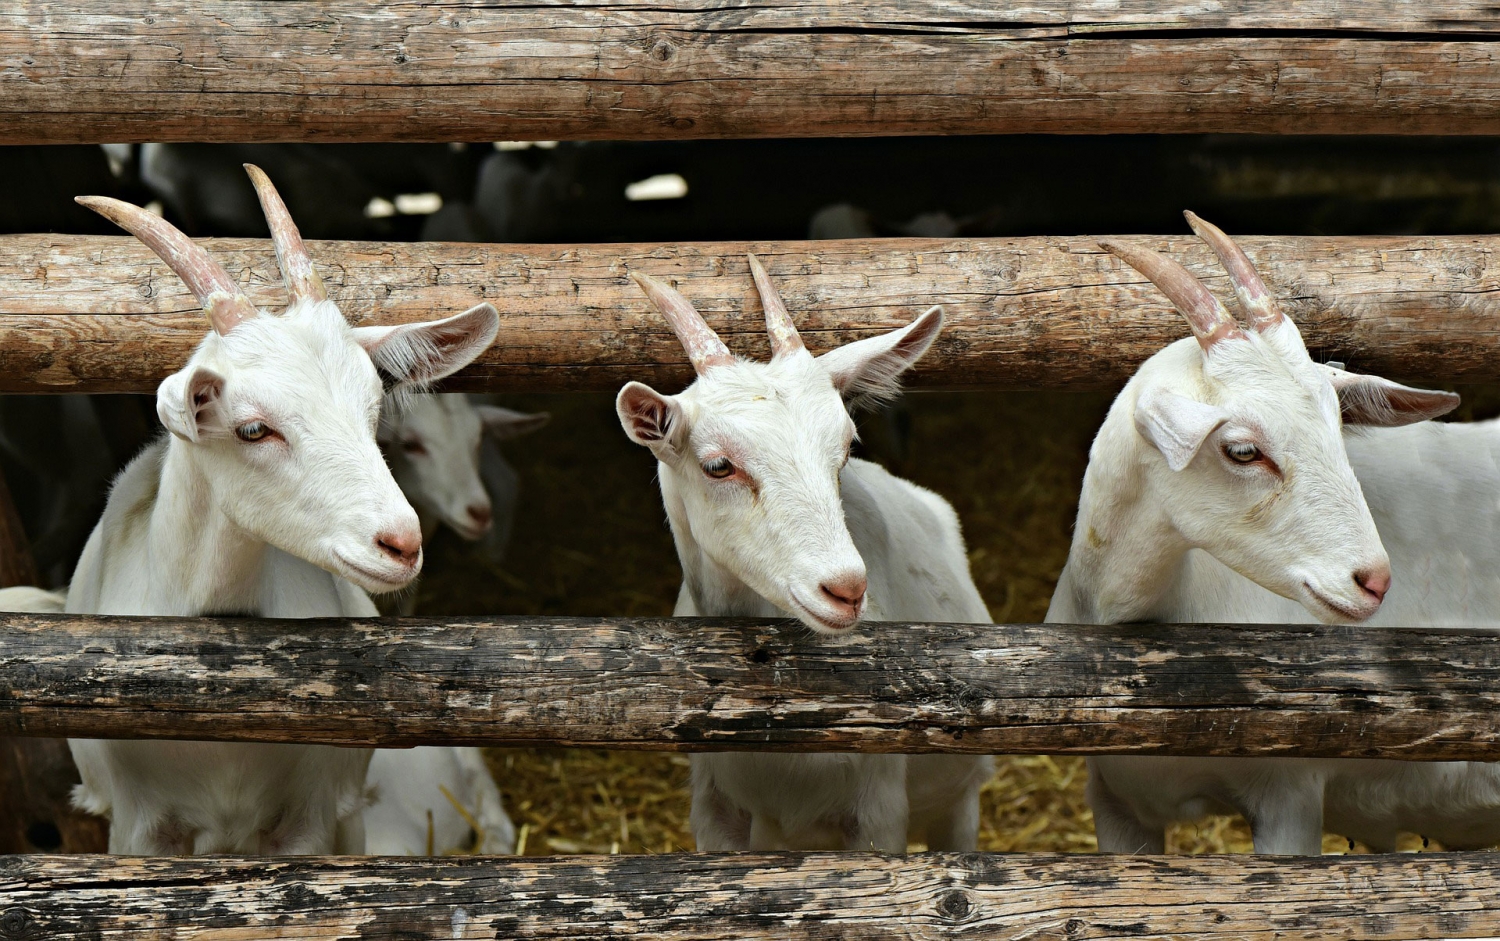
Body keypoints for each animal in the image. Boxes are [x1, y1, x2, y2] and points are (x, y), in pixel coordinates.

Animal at [615, 258, 990, 852]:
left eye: (847, 445)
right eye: (718, 465)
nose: (846, 589)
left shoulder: (879, 812)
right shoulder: (715, 808)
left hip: (961, 798)